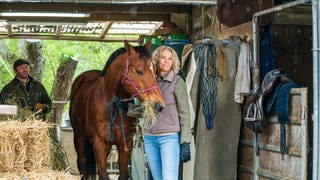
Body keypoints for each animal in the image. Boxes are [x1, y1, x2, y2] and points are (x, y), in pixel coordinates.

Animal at [70, 40, 165, 180]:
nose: (158, 104)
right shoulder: (100, 143)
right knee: (82, 163)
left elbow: (123, 174)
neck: (113, 103)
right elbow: (103, 174)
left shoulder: (125, 144)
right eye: (139, 71)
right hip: (79, 136)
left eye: (154, 71)